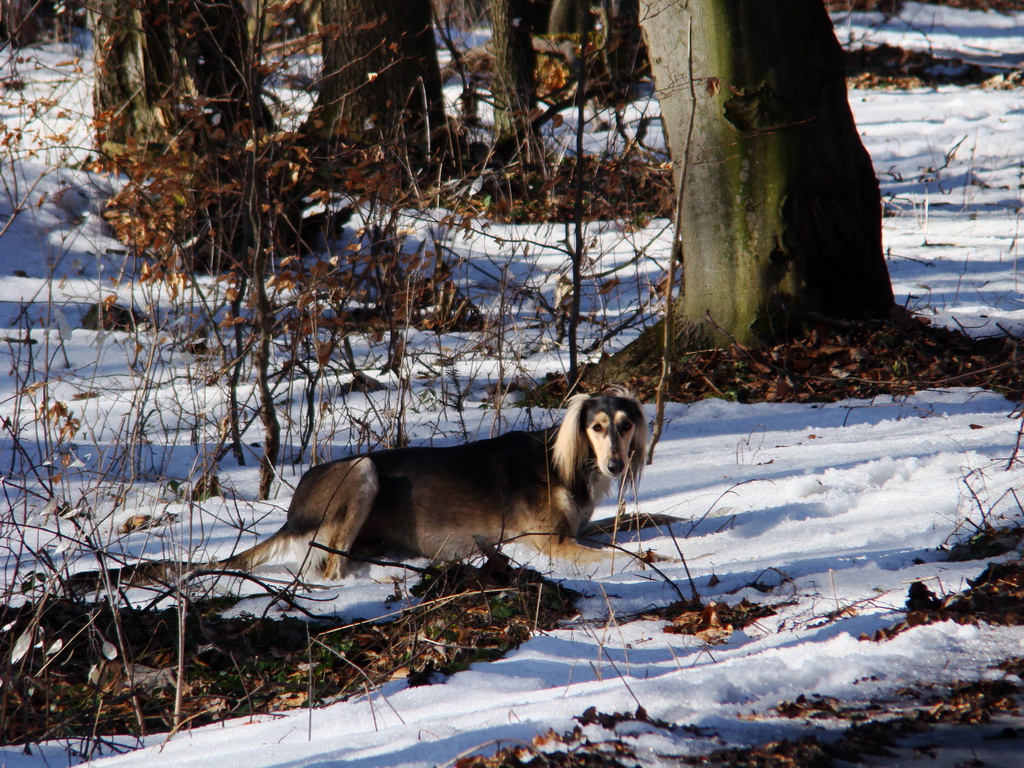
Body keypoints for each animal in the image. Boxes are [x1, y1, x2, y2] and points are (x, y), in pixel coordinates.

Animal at [223, 391, 647, 577]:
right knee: (332, 571)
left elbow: (630, 522)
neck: (565, 464)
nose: (616, 465)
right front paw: (653, 559)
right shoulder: (553, 543)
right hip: (362, 470)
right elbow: (616, 555)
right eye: (597, 427)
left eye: (626, 425)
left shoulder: (579, 528)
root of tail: (292, 511)